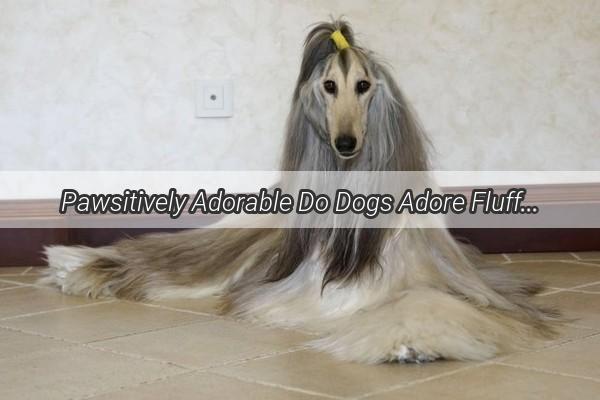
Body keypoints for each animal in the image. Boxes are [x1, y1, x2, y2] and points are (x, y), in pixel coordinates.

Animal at [41, 20, 556, 364]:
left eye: (363, 85)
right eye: (328, 86)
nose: (345, 143)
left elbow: (425, 301)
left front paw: (412, 341)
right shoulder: (297, 290)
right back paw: (77, 265)